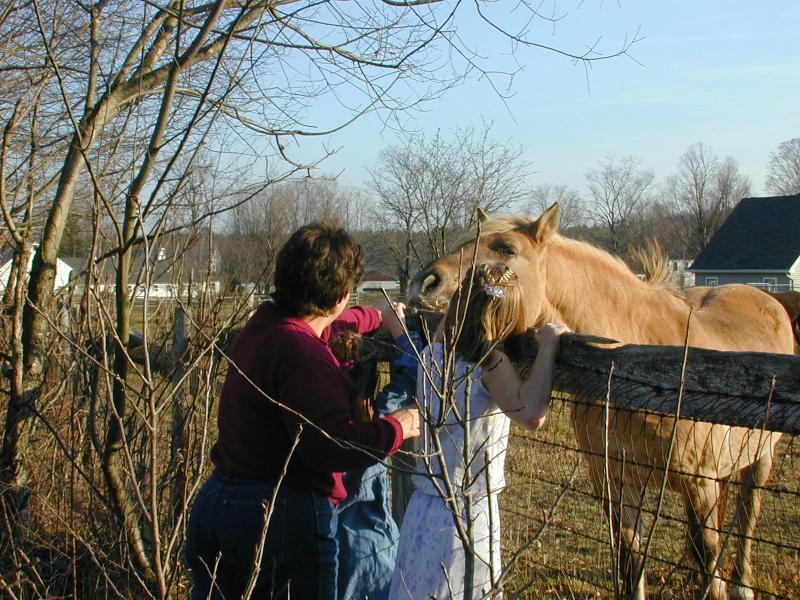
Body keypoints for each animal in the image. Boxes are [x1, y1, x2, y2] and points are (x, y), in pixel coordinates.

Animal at [410, 204, 796, 596]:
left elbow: (709, 559)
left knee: (747, 516)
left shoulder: (698, 482)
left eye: (506, 248)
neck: (638, 370)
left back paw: (742, 584)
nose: (425, 282)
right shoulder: (615, 484)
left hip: (760, 460)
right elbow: (630, 562)